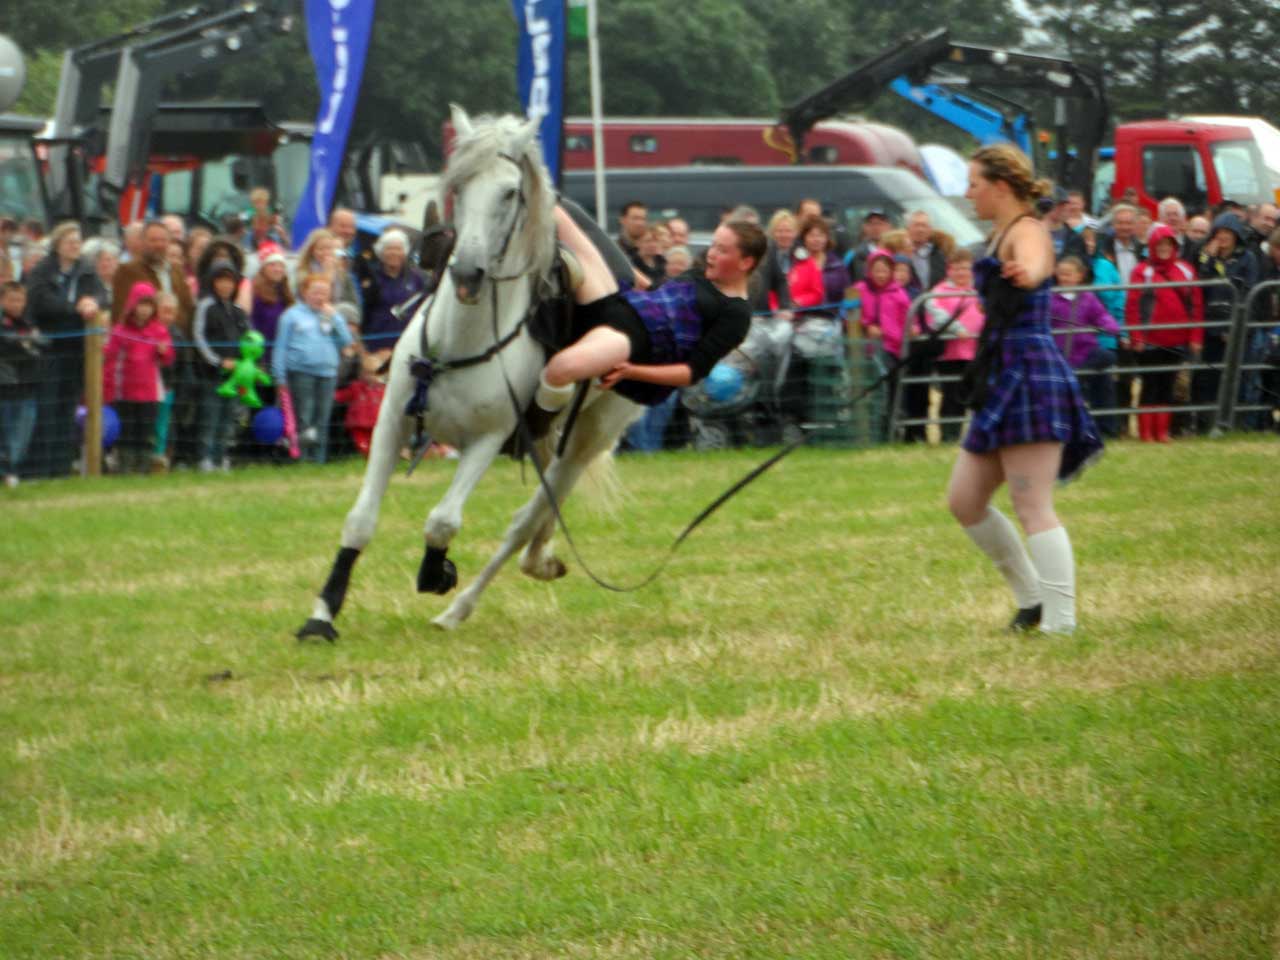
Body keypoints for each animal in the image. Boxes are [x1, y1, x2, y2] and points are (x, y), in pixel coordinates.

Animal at [298, 104, 640, 640]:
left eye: (511, 192)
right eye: (459, 187)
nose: (468, 272)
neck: (463, 338)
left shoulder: (488, 440)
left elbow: (442, 521)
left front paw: (435, 572)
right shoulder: (392, 422)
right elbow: (360, 519)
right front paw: (322, 614)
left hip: (590, 436)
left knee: (526, 519)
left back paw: (459, 609)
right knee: (539, 514)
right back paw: (540, 560)